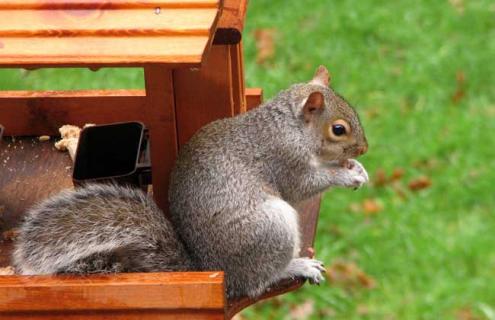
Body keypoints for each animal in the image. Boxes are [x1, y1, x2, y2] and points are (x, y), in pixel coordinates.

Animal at [12, 65, 368, 300]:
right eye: (338, 129)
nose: (364, 148)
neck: (290, 127)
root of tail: (218, 272)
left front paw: (357, 167)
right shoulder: (284, 159)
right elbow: (303, 186)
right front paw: (346, 174)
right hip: (270, 229)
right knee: (258, 281)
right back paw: (295, 266)